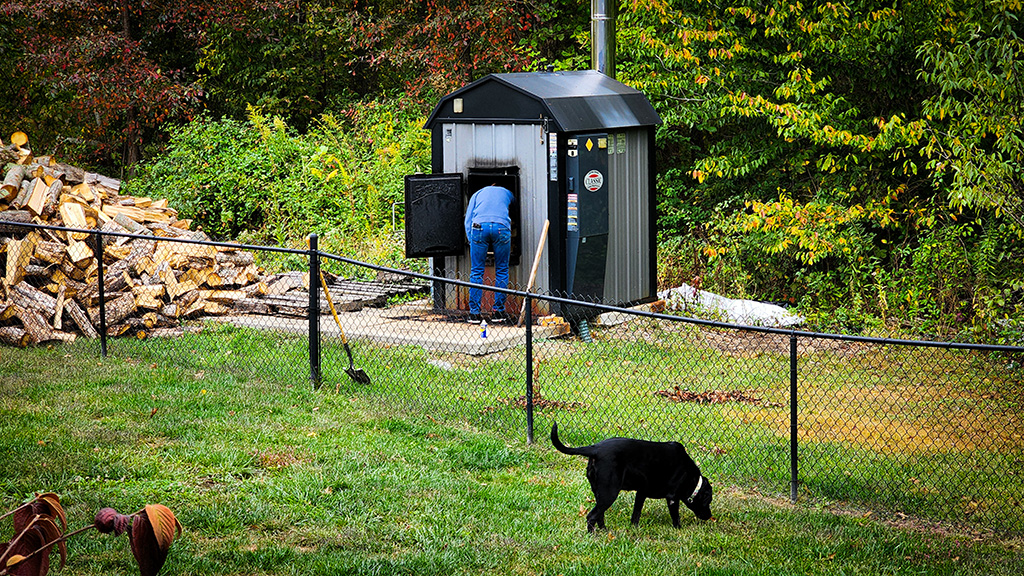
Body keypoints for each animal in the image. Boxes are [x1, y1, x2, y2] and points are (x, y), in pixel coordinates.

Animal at [552, 422, 712, 528]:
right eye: (708, 501)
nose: (710, 516)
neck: (692, 479)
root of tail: (595, 449)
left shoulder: (641, 493)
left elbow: (636, 514)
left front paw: (634, 528)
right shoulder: (672, 498)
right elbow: (676, 517)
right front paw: (678, 529)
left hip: (599, 493)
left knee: (599, 515)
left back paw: (604, 532)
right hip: (609, 493)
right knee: (592, 516)